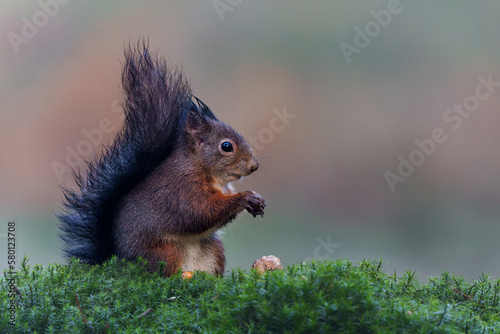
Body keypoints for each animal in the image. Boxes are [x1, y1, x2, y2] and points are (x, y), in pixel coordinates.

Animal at [58, 42, 266, 276]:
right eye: (227, 146)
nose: (254, 166)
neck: (204, 170)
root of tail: (121, 263)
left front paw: (256, 199)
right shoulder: (183, 189)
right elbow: (200, 212)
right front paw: (245, 197)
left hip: (214, 248)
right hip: (164, 252)